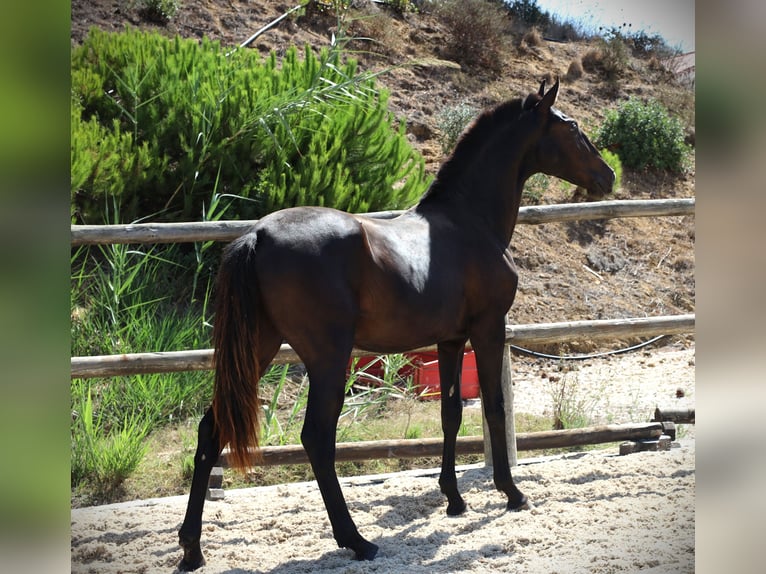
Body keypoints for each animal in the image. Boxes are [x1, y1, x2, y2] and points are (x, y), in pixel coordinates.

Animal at [177, 80, 616, 572]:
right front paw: (511, 492)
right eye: (572, 128)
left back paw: (192, 549)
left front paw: (454, 499)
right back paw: (357, 541)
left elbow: (451, 413)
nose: (608, 176)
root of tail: (258, 235)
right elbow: (495, 407)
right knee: (317, 438)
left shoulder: (450, 341)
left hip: (259, 348)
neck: (468, 222)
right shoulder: (488, 328)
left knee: (211, 430)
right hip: (327, 358)